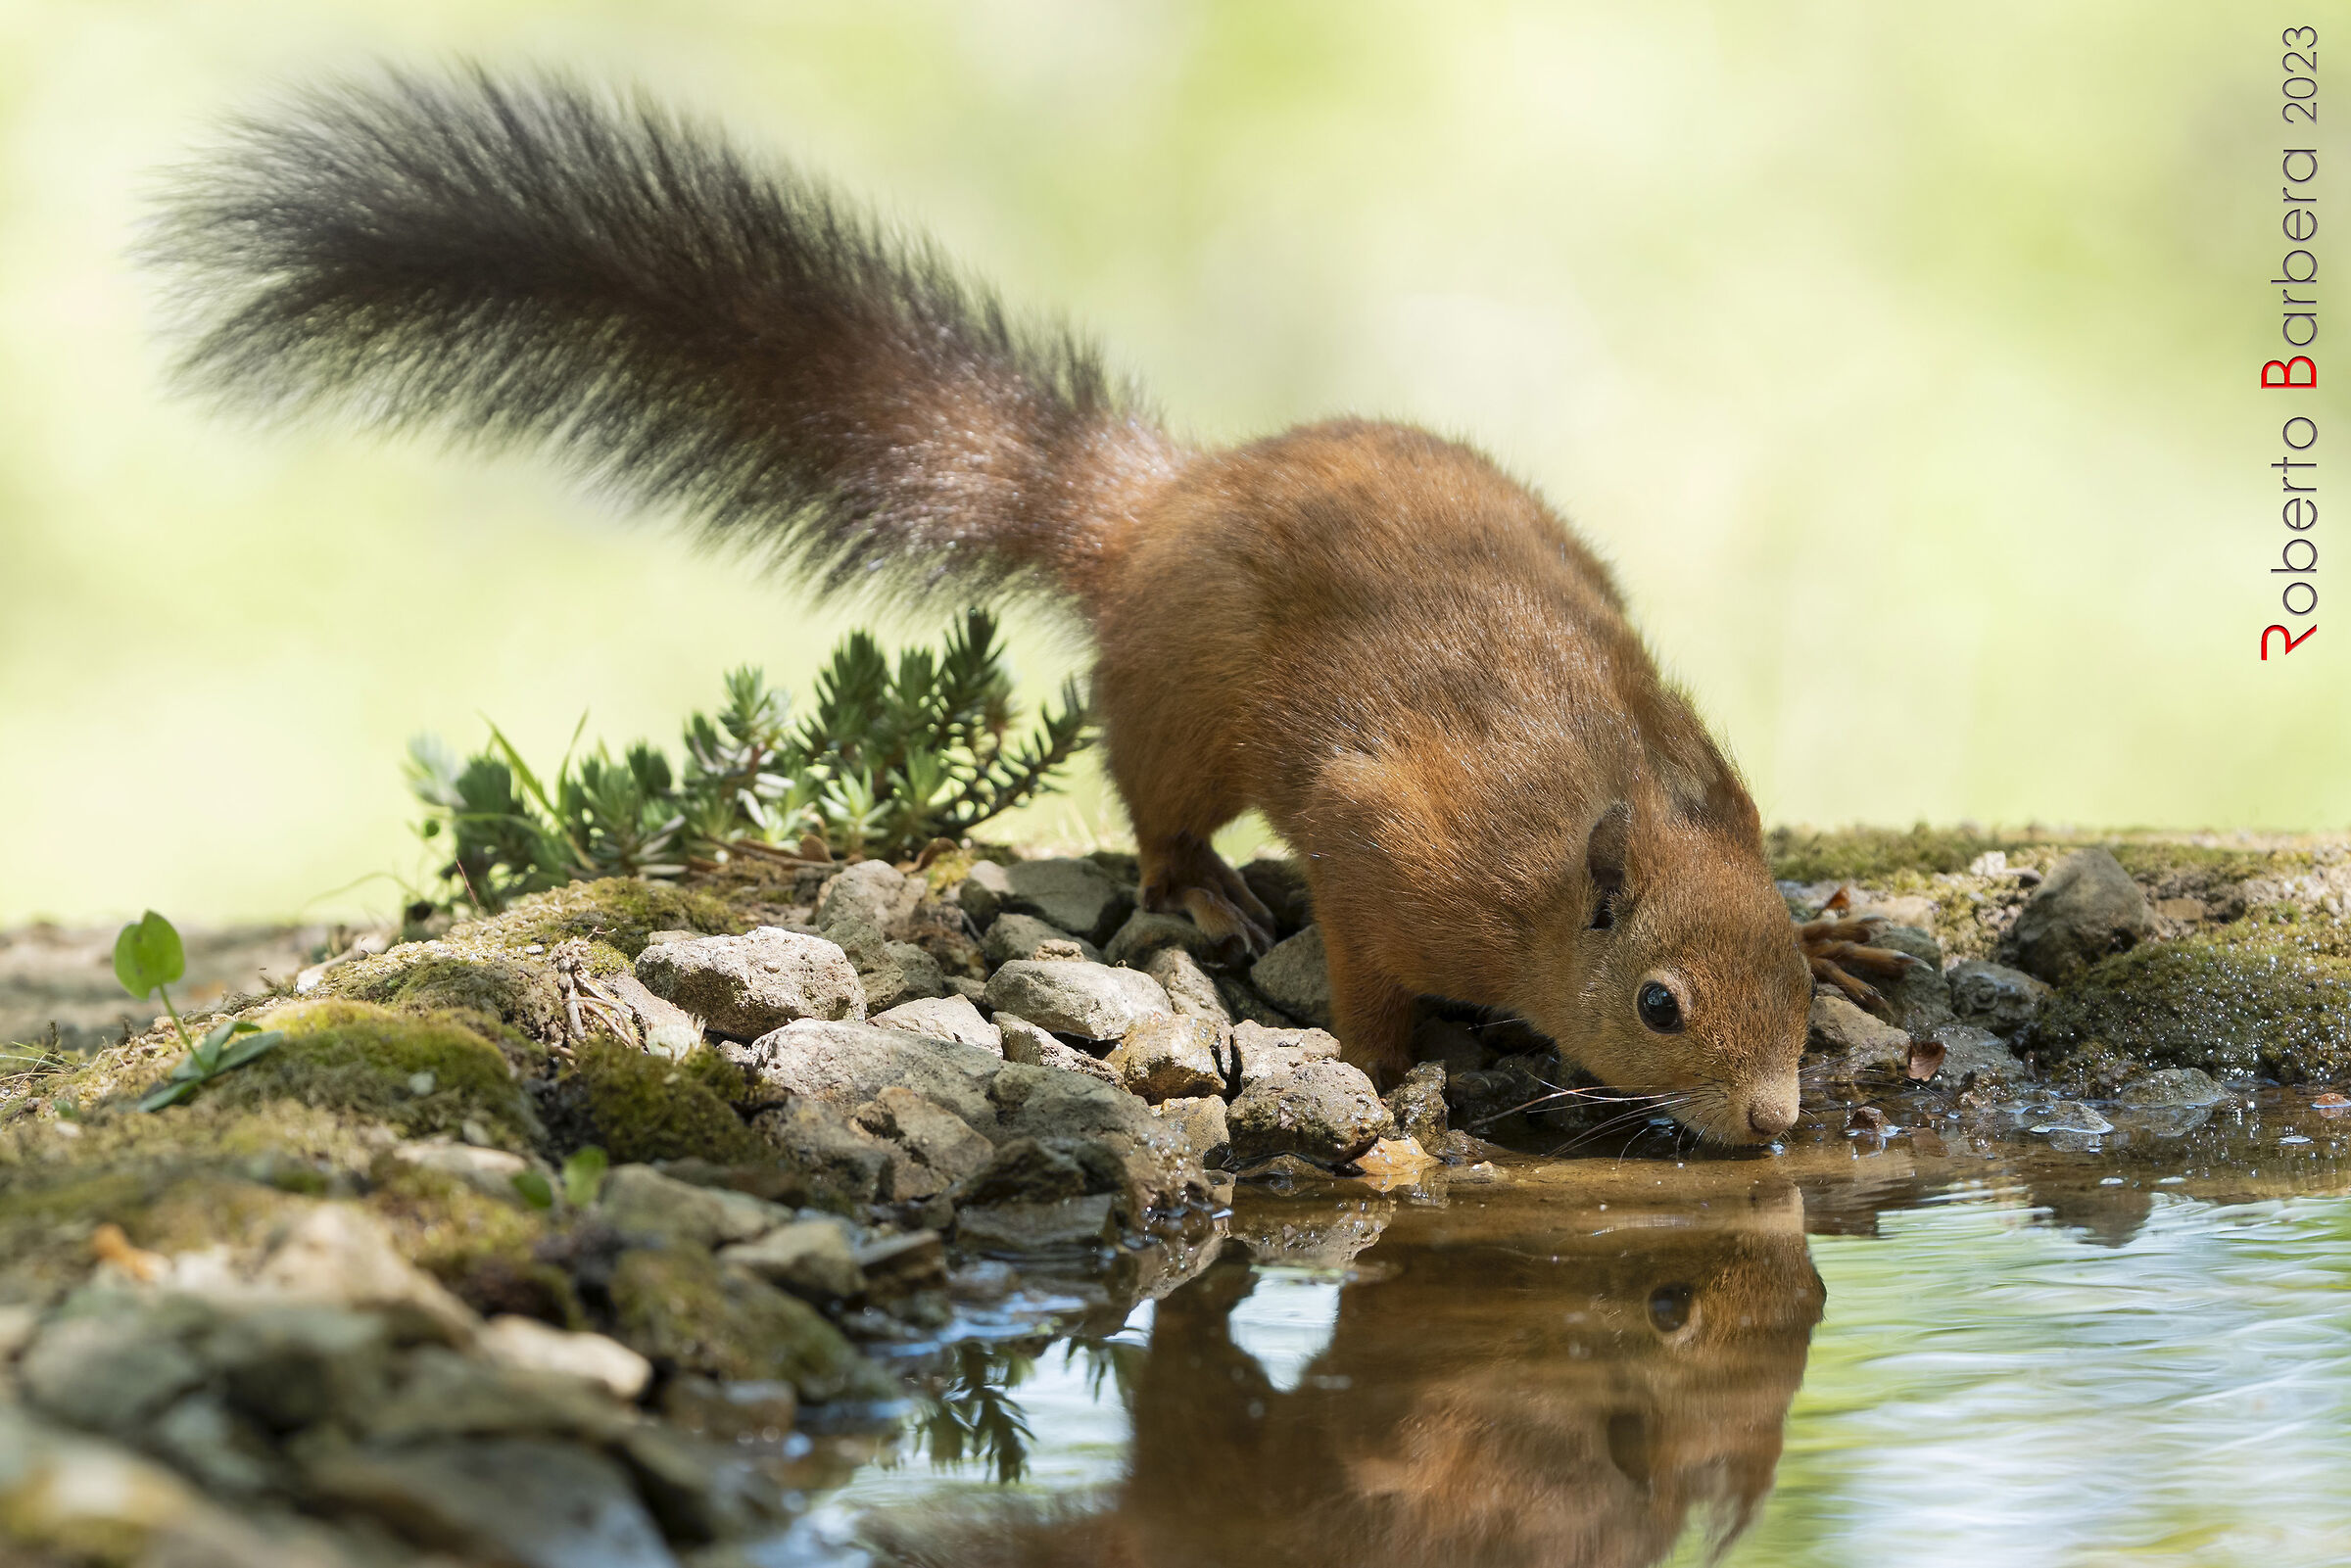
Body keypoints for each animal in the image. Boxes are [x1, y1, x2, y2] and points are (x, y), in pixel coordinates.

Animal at [147, 69, 1910, 1145]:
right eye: (1660, 1005)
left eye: (1786, 983)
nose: (1773, 1123)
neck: (1566, 849)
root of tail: (1161, 507)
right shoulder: (1391, 844)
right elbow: (1362, 967)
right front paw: (1390, 1067)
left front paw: (1854, 937)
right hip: (1187, 705)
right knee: (1160, 801)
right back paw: (1199, 889)